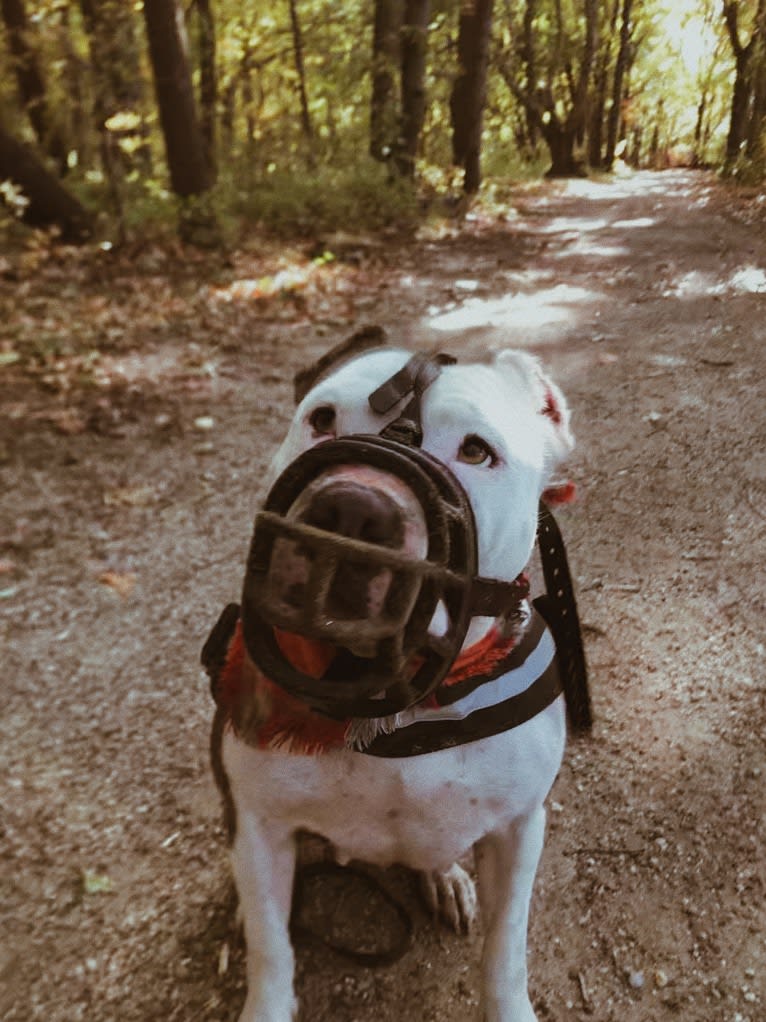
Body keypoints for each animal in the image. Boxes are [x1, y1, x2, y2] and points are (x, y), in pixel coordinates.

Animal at [204, 331, 588, 1017]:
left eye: (476, 450)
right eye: (322, 418)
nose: (351, 509)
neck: (401, 699)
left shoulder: (519, 829)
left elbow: (506, 950)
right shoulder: (260, 826)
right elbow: (272, 951)